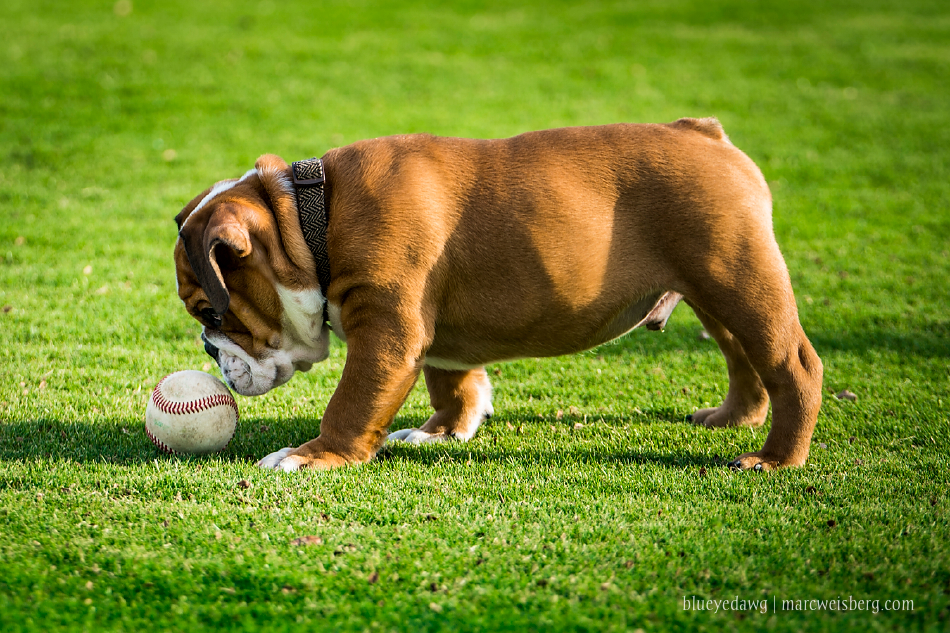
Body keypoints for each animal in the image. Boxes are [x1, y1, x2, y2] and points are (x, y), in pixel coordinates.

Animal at [173, 121, 824, 472]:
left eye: (209, 311)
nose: (207, 348)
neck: (312, 221)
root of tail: (703, 132)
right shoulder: (431, 334)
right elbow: (452, 381)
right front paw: (441, 432)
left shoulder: (386, 332)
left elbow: (352, 403)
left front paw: (313, 456)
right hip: (713, 291)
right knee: (743, 358)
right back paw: (734, 417)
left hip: (740, 280)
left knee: (792, 364)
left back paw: (776, 459)